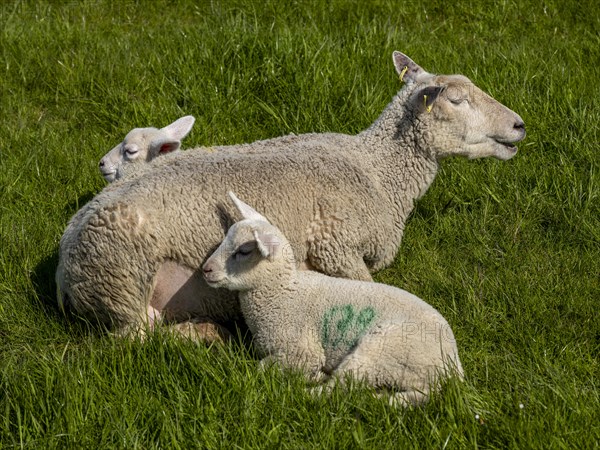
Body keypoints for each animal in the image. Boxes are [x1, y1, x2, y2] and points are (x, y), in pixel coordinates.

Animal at [56, 51, 524, 340]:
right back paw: (207, 334)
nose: (520, 125)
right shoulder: (335, 246)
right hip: (121, 281)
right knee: (138, 338)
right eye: (458, 100)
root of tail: (63, 266)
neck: (377, 169)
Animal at [203, 192, 464, 404]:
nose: (206, 270)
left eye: (244, 251)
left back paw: (307, 390)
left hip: (383, 351)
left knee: (341, 387)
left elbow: (262, 367)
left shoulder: (302, 349)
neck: (282, 292)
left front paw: (307, 374)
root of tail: (452, 368)